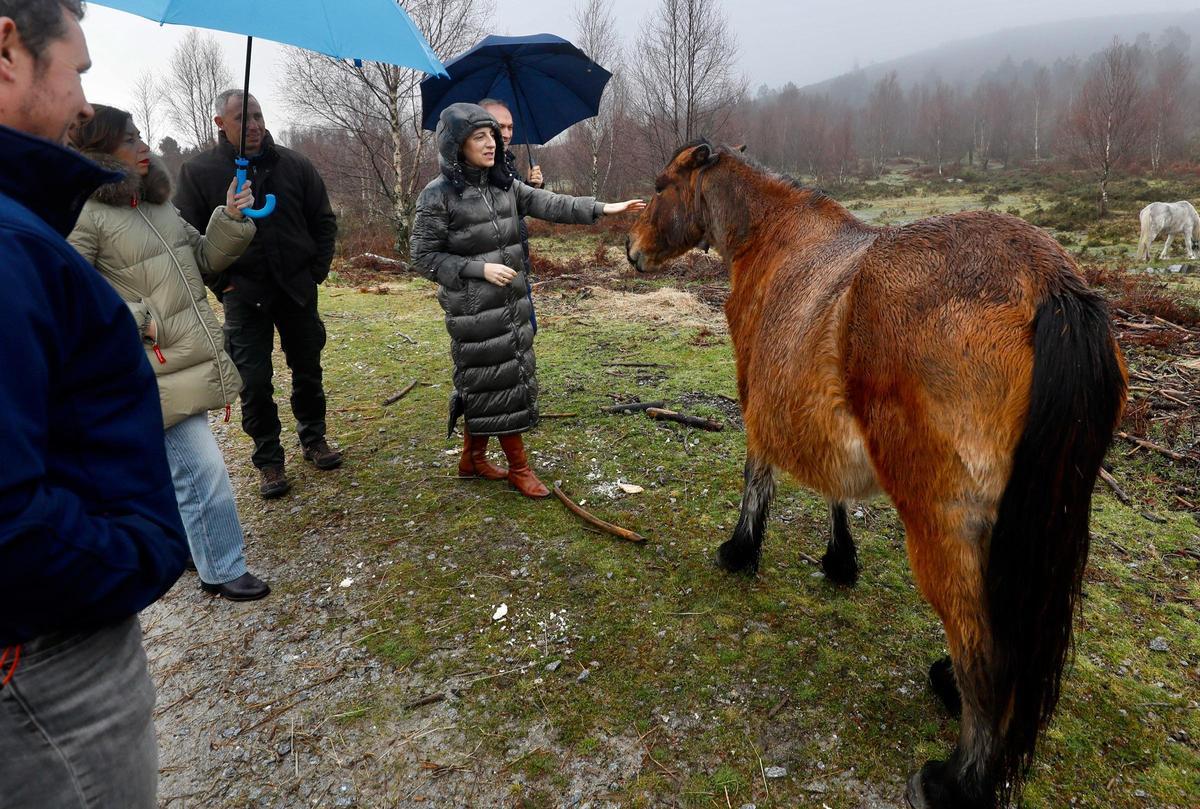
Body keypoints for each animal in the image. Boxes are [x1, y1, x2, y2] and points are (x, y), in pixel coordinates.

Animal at [625, 140, 1127, 809]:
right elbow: (836, 489)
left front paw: (740, 550)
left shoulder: (759, 401)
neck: (775, 237)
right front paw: (841, 560)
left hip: (943, 526)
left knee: (986, 654)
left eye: (661, 185)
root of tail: (1051, 285)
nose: (631, 248)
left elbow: (758, 476)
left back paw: (954, 781)